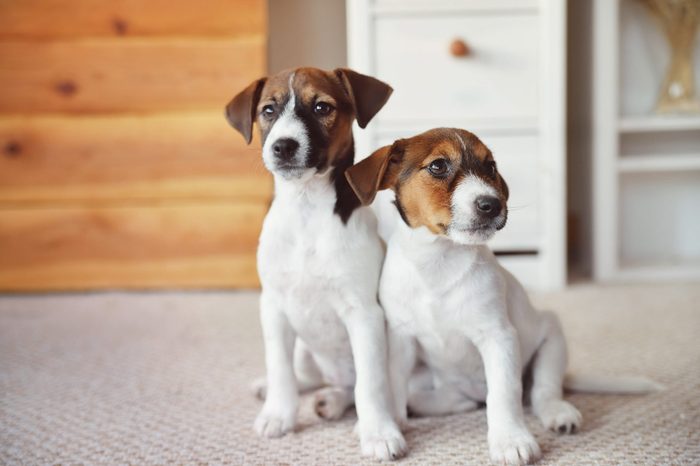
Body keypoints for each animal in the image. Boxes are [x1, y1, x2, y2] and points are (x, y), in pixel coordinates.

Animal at [224, 67, 410, 460]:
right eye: (268, 110)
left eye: (322, 107)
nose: (283, 146)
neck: (306, 208)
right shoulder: (274, 307)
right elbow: (280, 368)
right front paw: (278, 415)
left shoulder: (364, 314)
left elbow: (370, 384)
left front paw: (378, 433)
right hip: (305, 349)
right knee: (304, 375)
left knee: (353, 388)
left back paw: (334, 402)